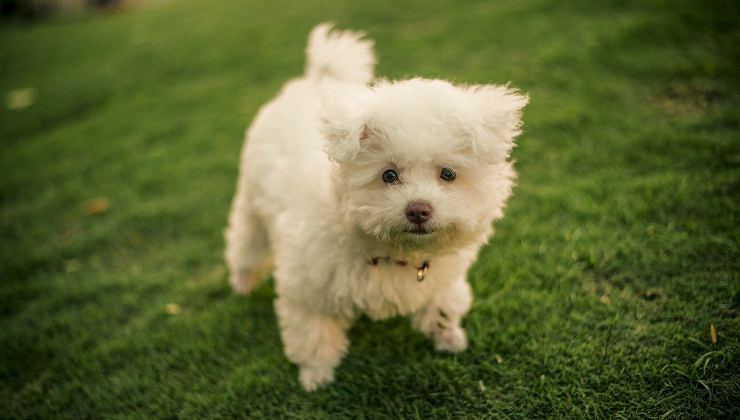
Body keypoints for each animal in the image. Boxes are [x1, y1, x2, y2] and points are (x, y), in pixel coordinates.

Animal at [224, 23, 528, 390]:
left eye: (448, 173)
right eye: (389, 175)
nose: (419, 210)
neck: (390, 252)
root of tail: (312, 80)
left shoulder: (442, 278)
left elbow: (441, 305)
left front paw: (448, 337)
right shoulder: (308, 288)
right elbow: (313, 336)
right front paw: (316, 378)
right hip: (252, 203)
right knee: (246, 241)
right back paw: (243, 281)